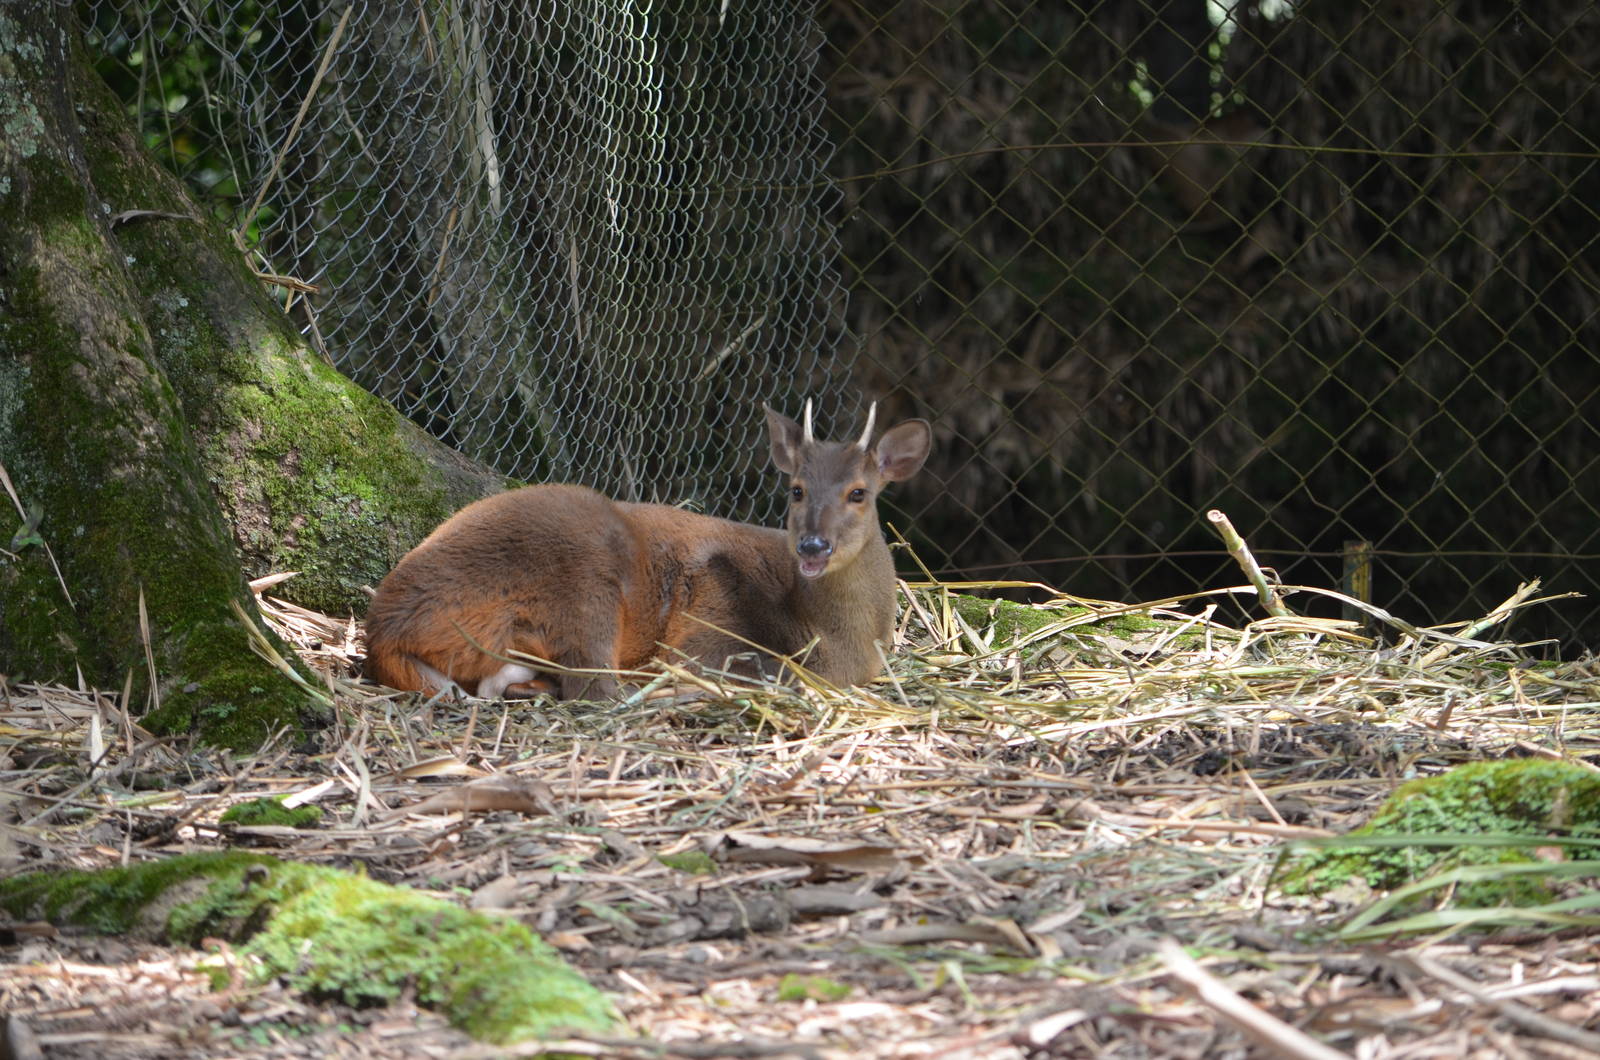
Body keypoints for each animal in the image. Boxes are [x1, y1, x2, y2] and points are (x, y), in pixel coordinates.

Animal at [363, 401, 932, 700]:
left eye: (858, 492)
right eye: (795, 490)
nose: (813, 545)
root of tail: (383, 630)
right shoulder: (709, 631)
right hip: (583, 582)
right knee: (594, 688)